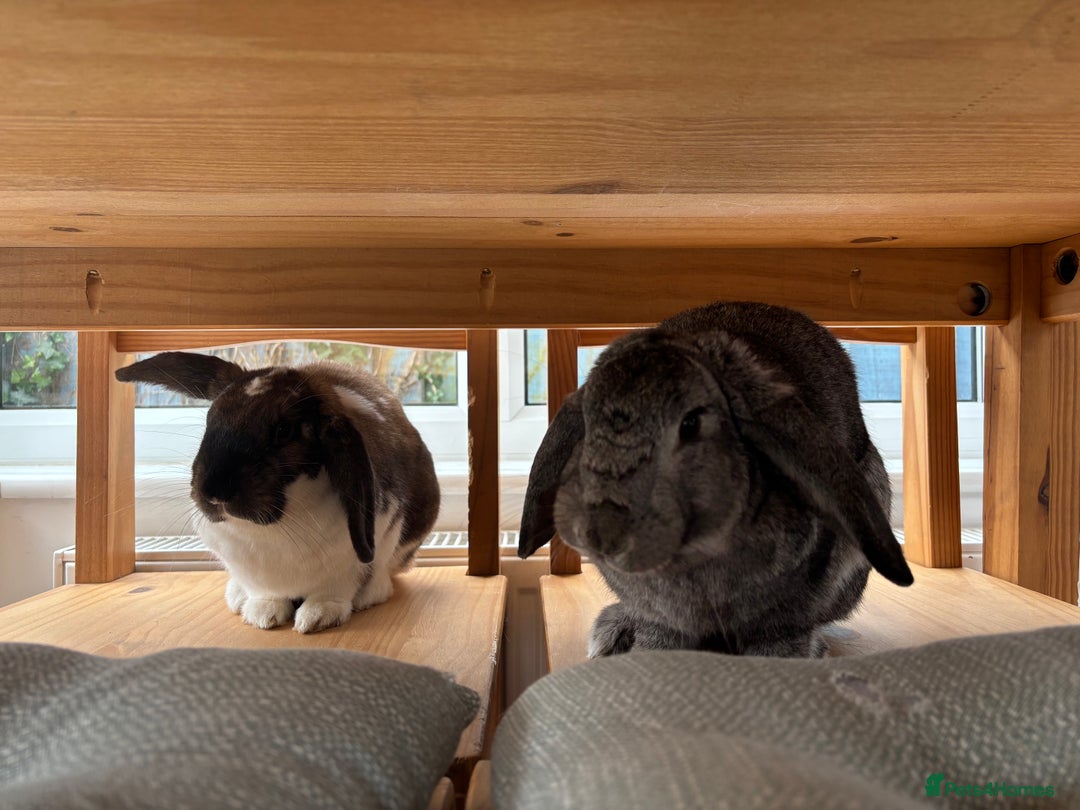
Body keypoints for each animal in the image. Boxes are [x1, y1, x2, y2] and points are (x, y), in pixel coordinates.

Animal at [115, 352, 440, 634]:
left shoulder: (355, 559)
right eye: (211, 418)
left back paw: (368, 595)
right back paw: (238, 597)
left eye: (284, 430)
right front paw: (263, 614)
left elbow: (334, 590)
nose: (216, 493)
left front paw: (317, 617)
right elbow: (265, 595)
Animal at [519, 301, 913, 659]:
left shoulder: (788, 611)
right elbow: (659, 635)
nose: (606, 527)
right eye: (587, 427)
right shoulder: (660, 616)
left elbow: (781, 636)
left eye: (691, 424)